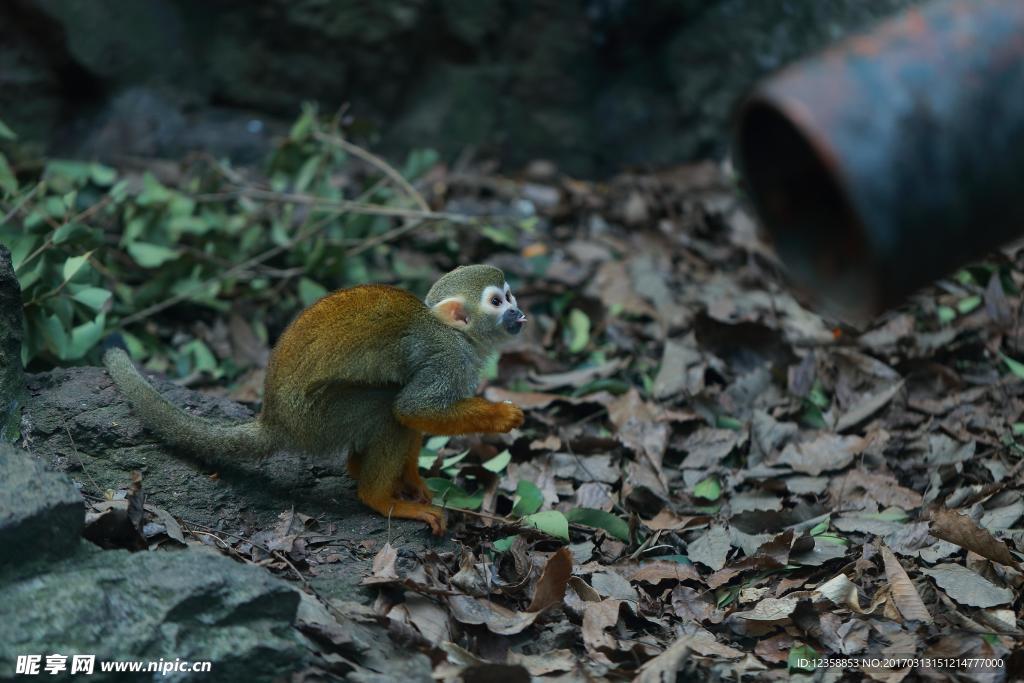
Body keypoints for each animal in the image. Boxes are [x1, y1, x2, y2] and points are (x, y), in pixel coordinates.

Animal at [103, 264, 528, 536]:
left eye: (510, 295)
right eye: (496, 302)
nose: (519, 312)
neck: (458, 336)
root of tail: (273, 418)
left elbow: (415, 413)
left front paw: (412, 478)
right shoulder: (446, 361)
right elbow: (412, 407)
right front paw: (501, 416)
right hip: (317, 420)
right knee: (386, 408)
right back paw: (378, 497)